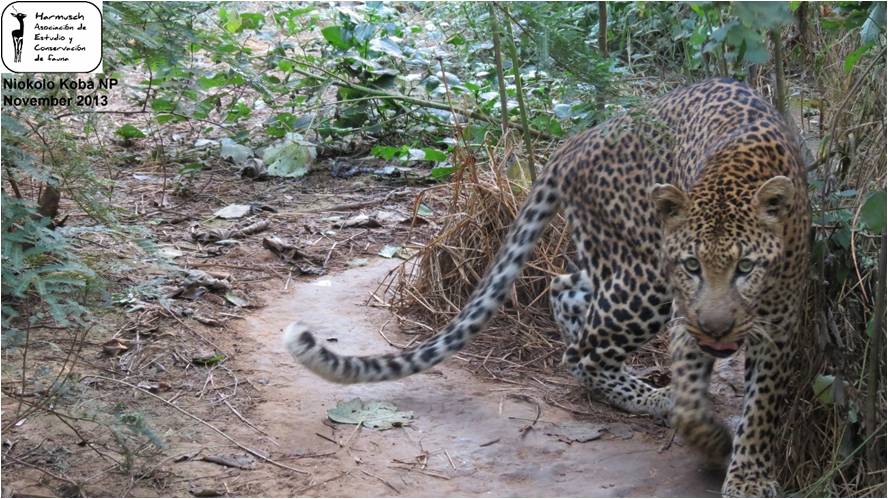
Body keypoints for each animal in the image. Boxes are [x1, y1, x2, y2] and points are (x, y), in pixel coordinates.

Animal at [283, 78, 809, 497]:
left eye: (746, 266)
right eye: (692, 266)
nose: (716, 328)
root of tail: (579, 139)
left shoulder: (781, 324)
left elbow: (761, 408)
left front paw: (747, 475)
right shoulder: (685, 312)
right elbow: (693, 401)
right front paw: (714, 441)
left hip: (616, 262)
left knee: (566, 289)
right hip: (645, 280)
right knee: (582, 351)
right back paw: (645, 394)